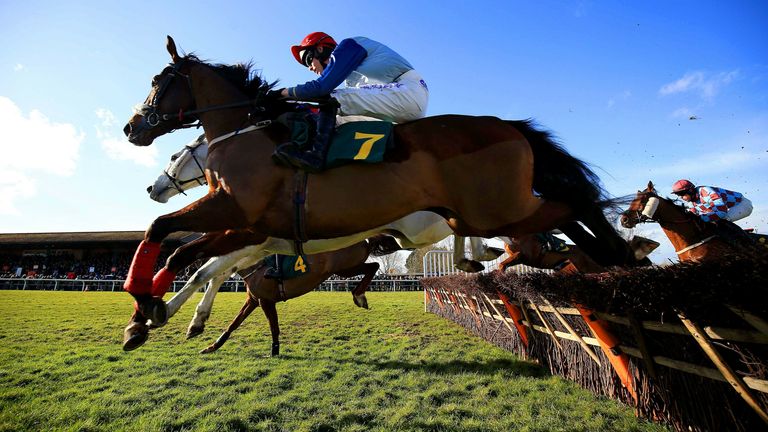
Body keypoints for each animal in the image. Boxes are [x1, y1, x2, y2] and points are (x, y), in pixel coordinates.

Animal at [121, 38, 636, 324]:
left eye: (158, 80)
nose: (131, 127)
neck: (249, 132)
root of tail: (507, 125)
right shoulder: (247, 225)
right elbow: (188, 255)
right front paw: (152, 310)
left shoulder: (236, 212)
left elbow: (165, 233)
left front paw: (146, 303)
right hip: (484, 212)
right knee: (561, 216)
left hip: (499, 208)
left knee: (575, 203)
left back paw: (616, 254)